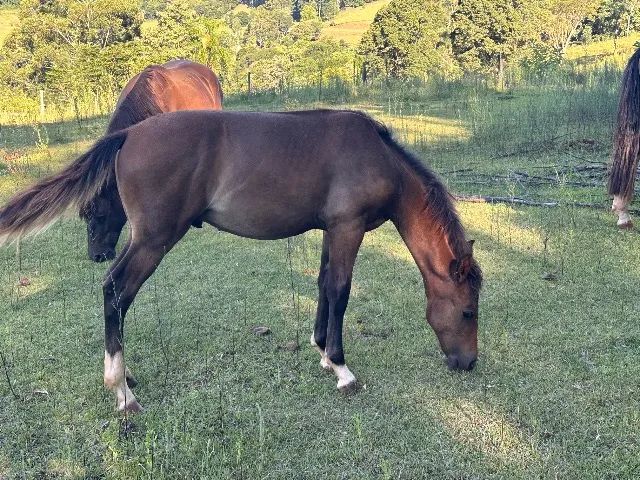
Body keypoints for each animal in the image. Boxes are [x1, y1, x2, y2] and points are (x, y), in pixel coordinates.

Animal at [0, 109, 482, 412]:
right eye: (467, 311)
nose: (468, 363)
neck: (379, 157)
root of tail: (130, 135)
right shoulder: (349, 228)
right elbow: (341, 291)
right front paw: (342, 368)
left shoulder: (333, 229)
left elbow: (324, 285)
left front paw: (323, 353)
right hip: (152, 241)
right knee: (115, 290)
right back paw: (122, 393)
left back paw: (127, 377)